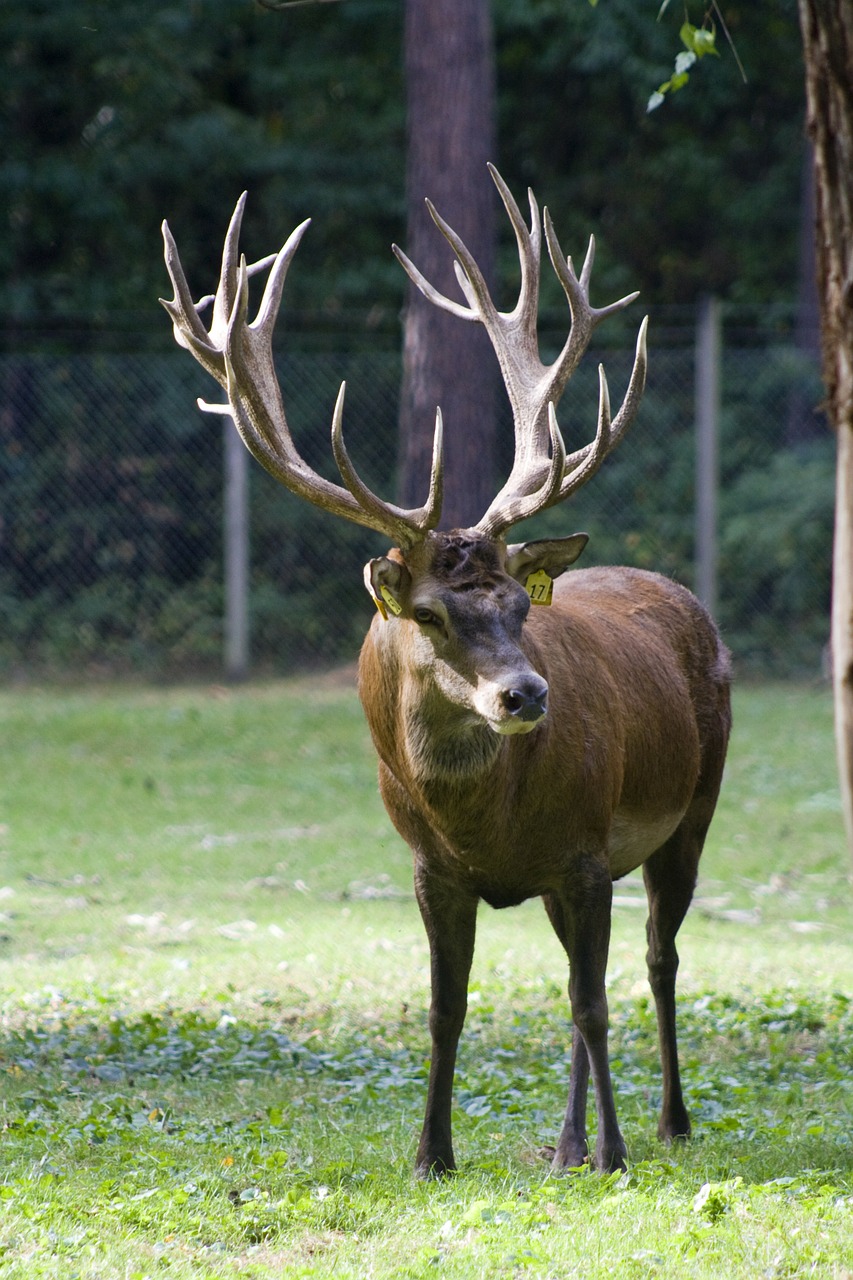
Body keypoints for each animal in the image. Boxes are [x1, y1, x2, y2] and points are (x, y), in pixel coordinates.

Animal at [162, 170, 727, 1177]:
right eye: (428, 613)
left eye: (517, 605)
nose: (526, 695)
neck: (481, 820)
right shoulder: (431, 869)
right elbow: (445, 1008)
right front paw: (432, 1152)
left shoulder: (586, 851)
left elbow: (591, 1003)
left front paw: (616, 1153)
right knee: (594, 973)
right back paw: (564, 1145)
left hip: (691, 808)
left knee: (656, 961)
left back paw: (665, 1122)